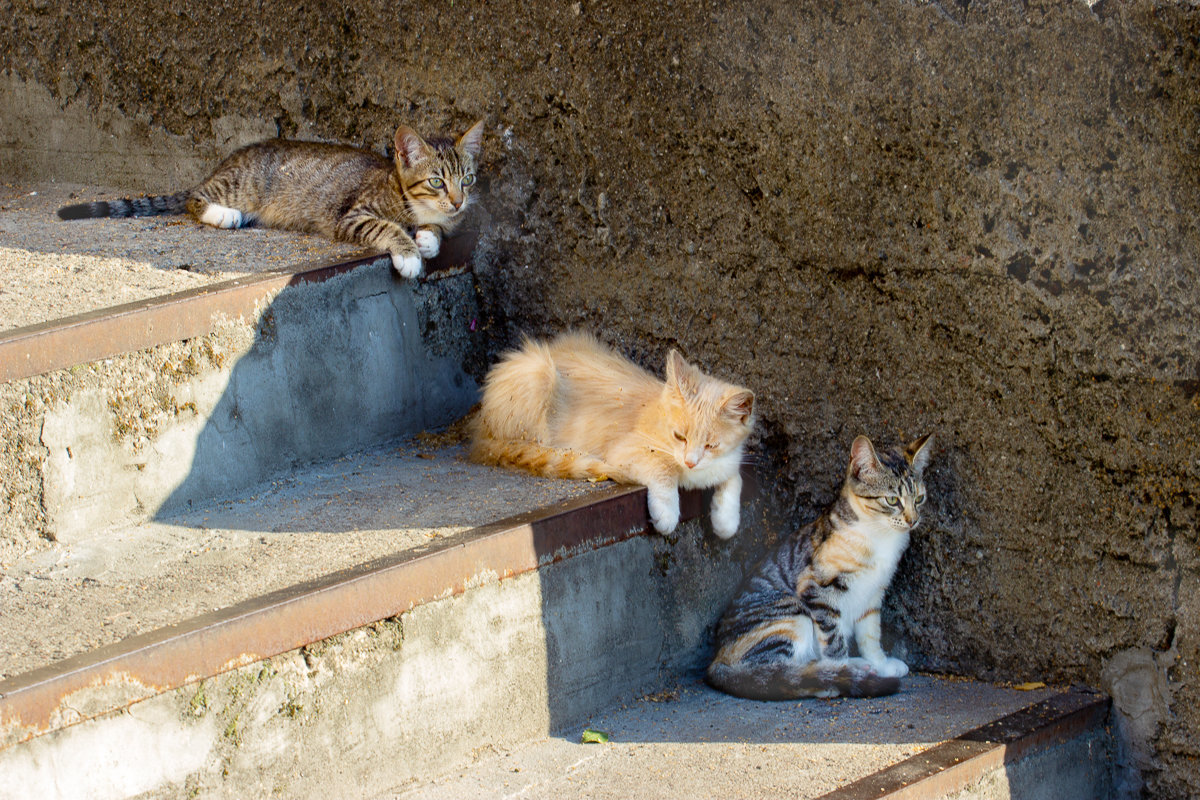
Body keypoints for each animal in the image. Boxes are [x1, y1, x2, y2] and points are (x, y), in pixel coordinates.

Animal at [465, 331, 748, 537]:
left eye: (711, 445)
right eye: (680, 436)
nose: (691, 462)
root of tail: (480, 426)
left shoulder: (727, 461)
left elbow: (734, 479)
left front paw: (726, 521)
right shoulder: (629, 450)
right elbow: (662, 468)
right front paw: (666, 515)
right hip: (536, 372)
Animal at [705, 434, 931, 705]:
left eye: (919, 499)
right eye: (892, 500)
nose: (913, 520)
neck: (879, 536)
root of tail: (717, 661)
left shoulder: (872, 594)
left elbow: (870, 636)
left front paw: (880, 663)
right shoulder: (818, 590)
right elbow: (834, 645)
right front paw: (843, 675)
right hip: (790, 612)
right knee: (773, 675)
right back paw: (826, 681)